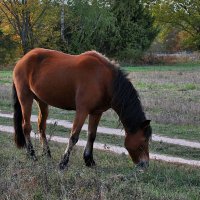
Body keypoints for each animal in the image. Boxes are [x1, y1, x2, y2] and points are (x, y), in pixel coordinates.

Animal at [12, 47, 152, 170]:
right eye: (144, 140)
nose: (145, 164)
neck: (103, 79)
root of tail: (22, 60)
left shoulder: (96, 112)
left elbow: (92, 135)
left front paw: (89, 160)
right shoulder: (82, 110)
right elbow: (74, 136)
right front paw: (63, 163)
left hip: (42, 101)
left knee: (41, 126)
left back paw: (46, 154)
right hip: (25, 98)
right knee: (26, 126)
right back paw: (32, 155)